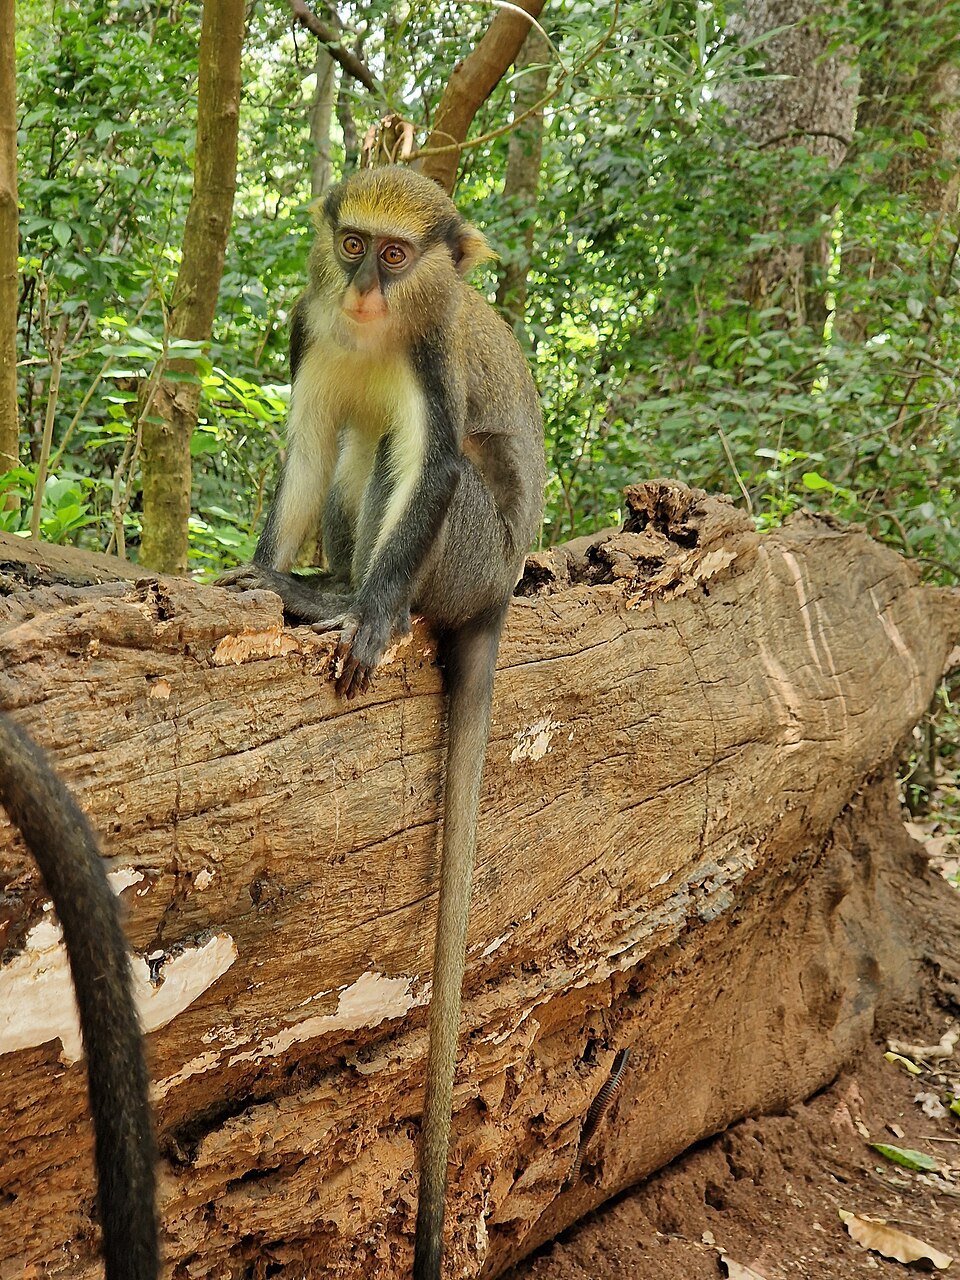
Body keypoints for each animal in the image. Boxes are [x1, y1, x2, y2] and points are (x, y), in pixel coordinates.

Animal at [219, 164, 545, 1279]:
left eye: (399, 259)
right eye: (354, 245)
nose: (365, 291)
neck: (374, 331)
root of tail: (498, 595)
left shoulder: (431, 357)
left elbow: (433, 464)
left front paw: (363, 623)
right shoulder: (310, 331)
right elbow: (313, 442)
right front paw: (263, 571)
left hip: (474, 556)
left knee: (419, 463)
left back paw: (373, 609)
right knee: (361, 445)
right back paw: (317, 582)